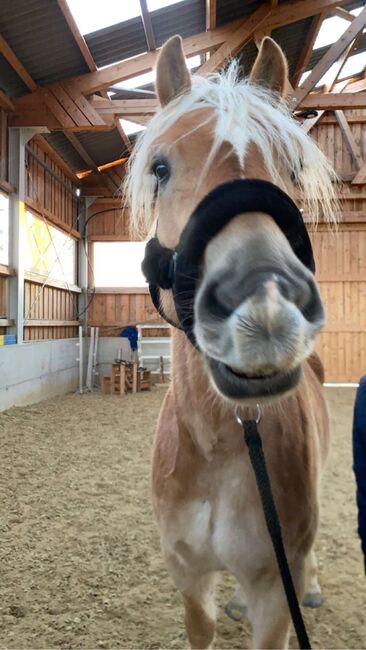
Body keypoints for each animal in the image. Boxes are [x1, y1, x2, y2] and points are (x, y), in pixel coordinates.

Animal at [124, 36, 336, 648]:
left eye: (293, 167)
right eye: (161, 167)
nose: (264, 305)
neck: (222, 445)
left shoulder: (275, 591)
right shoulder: (189, 576)